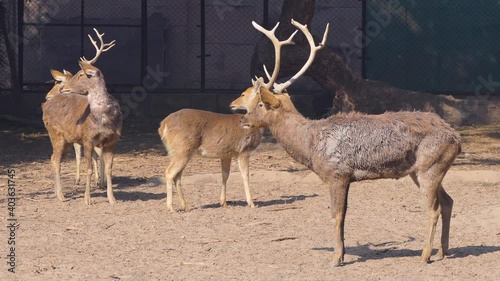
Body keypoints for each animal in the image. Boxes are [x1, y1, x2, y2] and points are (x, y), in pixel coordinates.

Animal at [42, 27, 122, 203]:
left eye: (81, 74)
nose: (63, 88)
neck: (104, 118)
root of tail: (44, 106)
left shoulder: (112, 141)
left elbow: (109, 169)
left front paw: (112, 199)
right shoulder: (87, 139)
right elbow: (89, 169)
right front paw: (87, 199)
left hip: (67, 140)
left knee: (54, 158)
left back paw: (58, 193)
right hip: (55, 134)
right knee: (54, 160)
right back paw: (61, 196)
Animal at [229, 19, 460, 264]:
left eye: (260, 103)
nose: (243, 119)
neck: (311, 146)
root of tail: (457, 138)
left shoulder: (337, 173)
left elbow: (336, 215)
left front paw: (336, 258)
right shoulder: (347, 177)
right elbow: (344, 216)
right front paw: (341, 252)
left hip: (430, 166)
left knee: (433, 209)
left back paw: (425, 255)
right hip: (421, 170)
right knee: (448, 201)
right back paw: (443, 252)